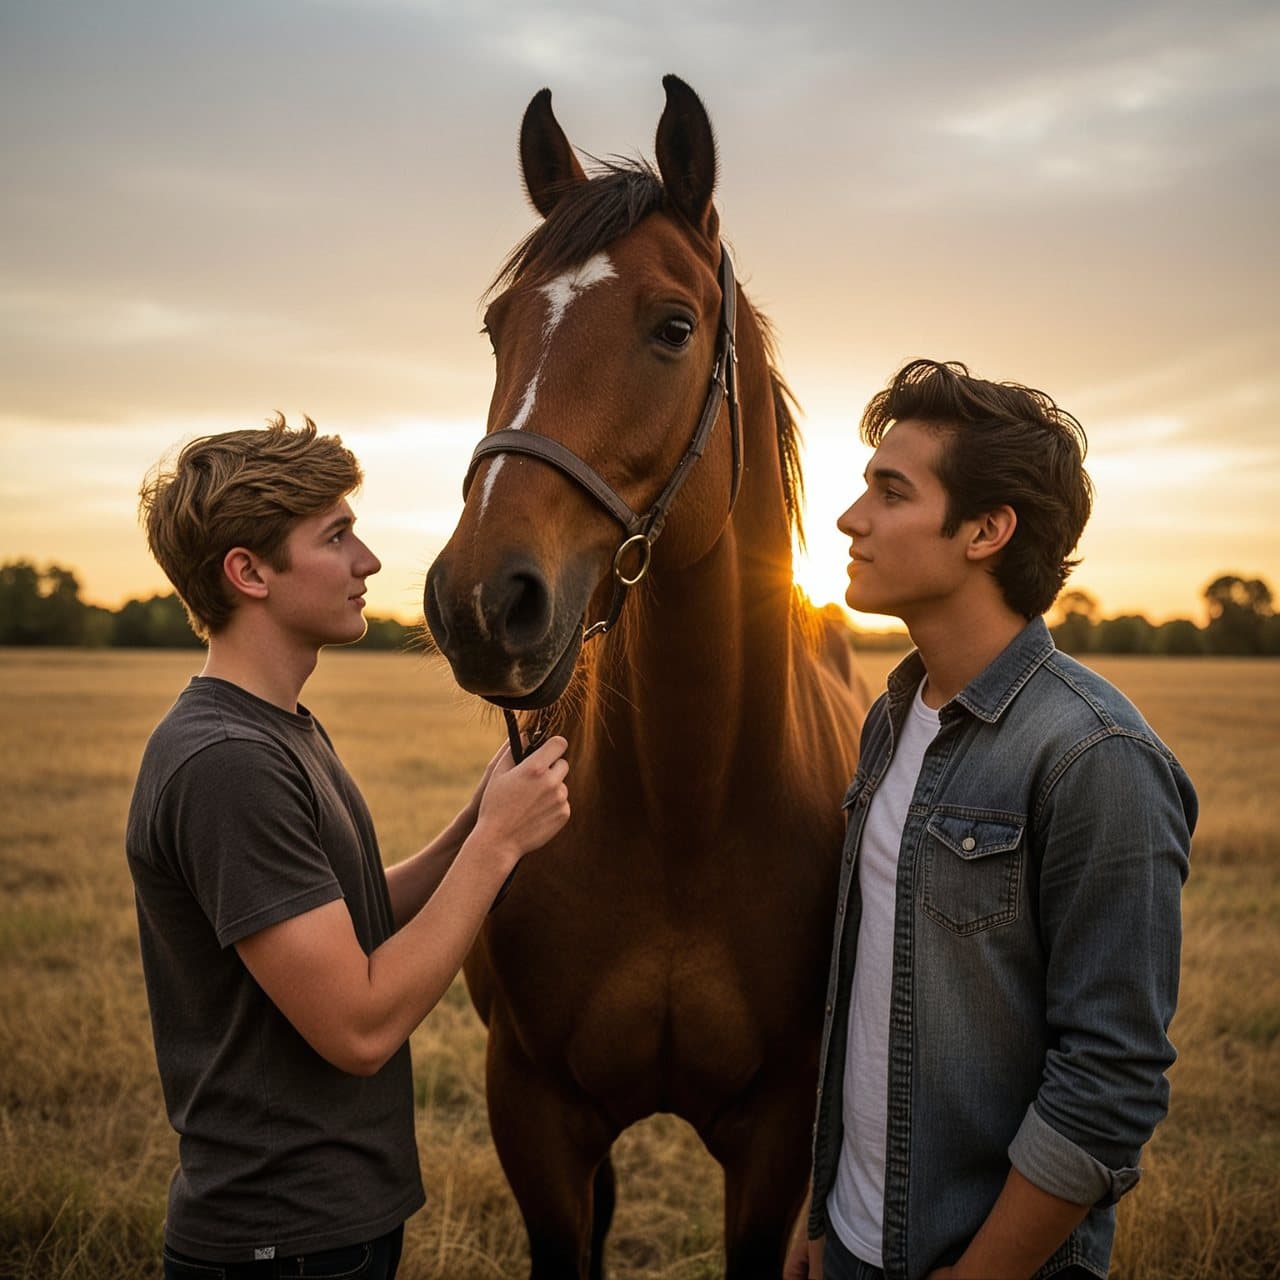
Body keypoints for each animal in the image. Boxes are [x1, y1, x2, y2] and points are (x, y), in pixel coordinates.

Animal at [424, 75, 871, 1279]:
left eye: (673, 327)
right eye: (497, 327)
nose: (478, 603)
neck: (685, 811)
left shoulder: (777, 1133)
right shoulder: (535, 1114)